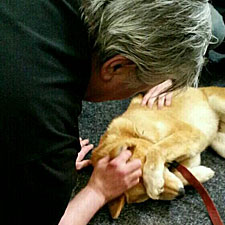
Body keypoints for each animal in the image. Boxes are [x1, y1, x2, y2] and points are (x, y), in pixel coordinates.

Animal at [90, 87, 224, 219]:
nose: (181, 193)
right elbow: (180, 173)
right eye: (146, 197)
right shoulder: (193, 152)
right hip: (218, 144)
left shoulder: (192, 133)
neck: (139, 131)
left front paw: (152, 178)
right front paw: (202, 174)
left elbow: (157, 149)